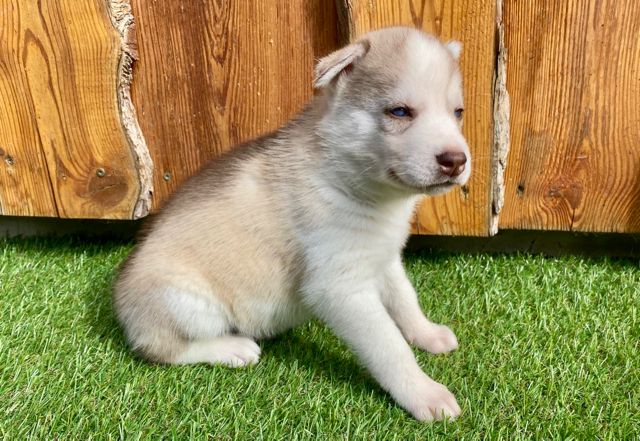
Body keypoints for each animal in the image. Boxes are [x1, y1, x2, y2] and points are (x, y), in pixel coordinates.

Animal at [114, 26, 470, 422]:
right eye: (399, 111)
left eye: (458, 112)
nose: (456, 161)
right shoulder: (339, 289)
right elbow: (389, 346)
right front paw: (425, 393)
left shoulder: (383, 259)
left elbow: (406, 300)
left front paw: (428, 334)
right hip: (184, 302)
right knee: (159, 349)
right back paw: (233, 349)